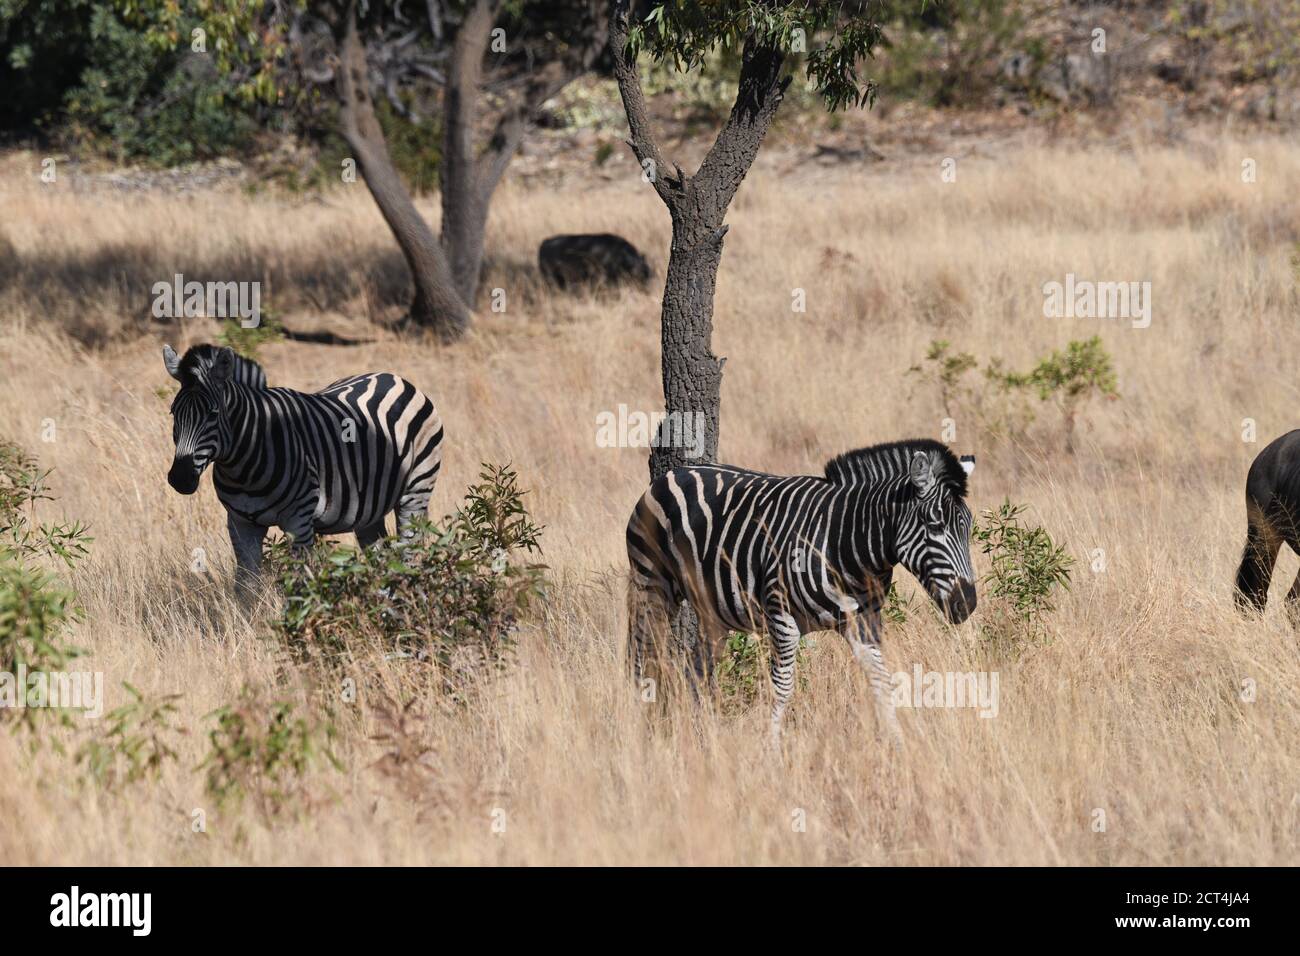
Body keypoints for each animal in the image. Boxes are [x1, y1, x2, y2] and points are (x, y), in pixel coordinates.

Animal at [161, 343, 447, 582]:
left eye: (213, 414)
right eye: (174, 413)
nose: (180, 478)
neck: (243, 464)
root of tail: (393, 377)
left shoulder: (298, 520)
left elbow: (300, 584)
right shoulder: (240, 522)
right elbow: (246, 587)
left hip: (416, 492)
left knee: (409, 554)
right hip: (369, 510)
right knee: (381, 557)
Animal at [626, 437, 977, 738]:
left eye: (969, 528)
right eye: (934, 526)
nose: (968, 603)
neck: (846, 541)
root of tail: (674, 472)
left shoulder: (865, 622)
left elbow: (882, 682)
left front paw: (898, 747)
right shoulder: (782, 618)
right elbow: (782, 688)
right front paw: (771, 752)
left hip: (712, 613)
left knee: (695, 671)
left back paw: (700, 735)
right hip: (652, 586)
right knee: (643, 658)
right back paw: (642, 729)